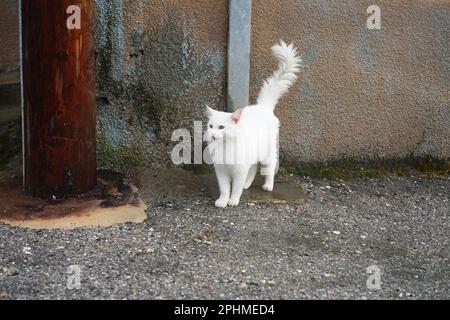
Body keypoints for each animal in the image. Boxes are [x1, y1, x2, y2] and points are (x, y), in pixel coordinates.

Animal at [206, 40, 300, 208]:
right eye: (211, 127)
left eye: (221, 127)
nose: (213, 135)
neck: (226, 146)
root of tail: (262, 106)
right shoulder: (221, 171)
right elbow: (224, 189)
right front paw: (223, 201)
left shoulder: (239, 170)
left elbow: (235, 188)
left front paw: (233, 201)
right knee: (253, 167)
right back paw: (247, 184)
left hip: (267, 154)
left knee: (269, 169)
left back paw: (268, 185)